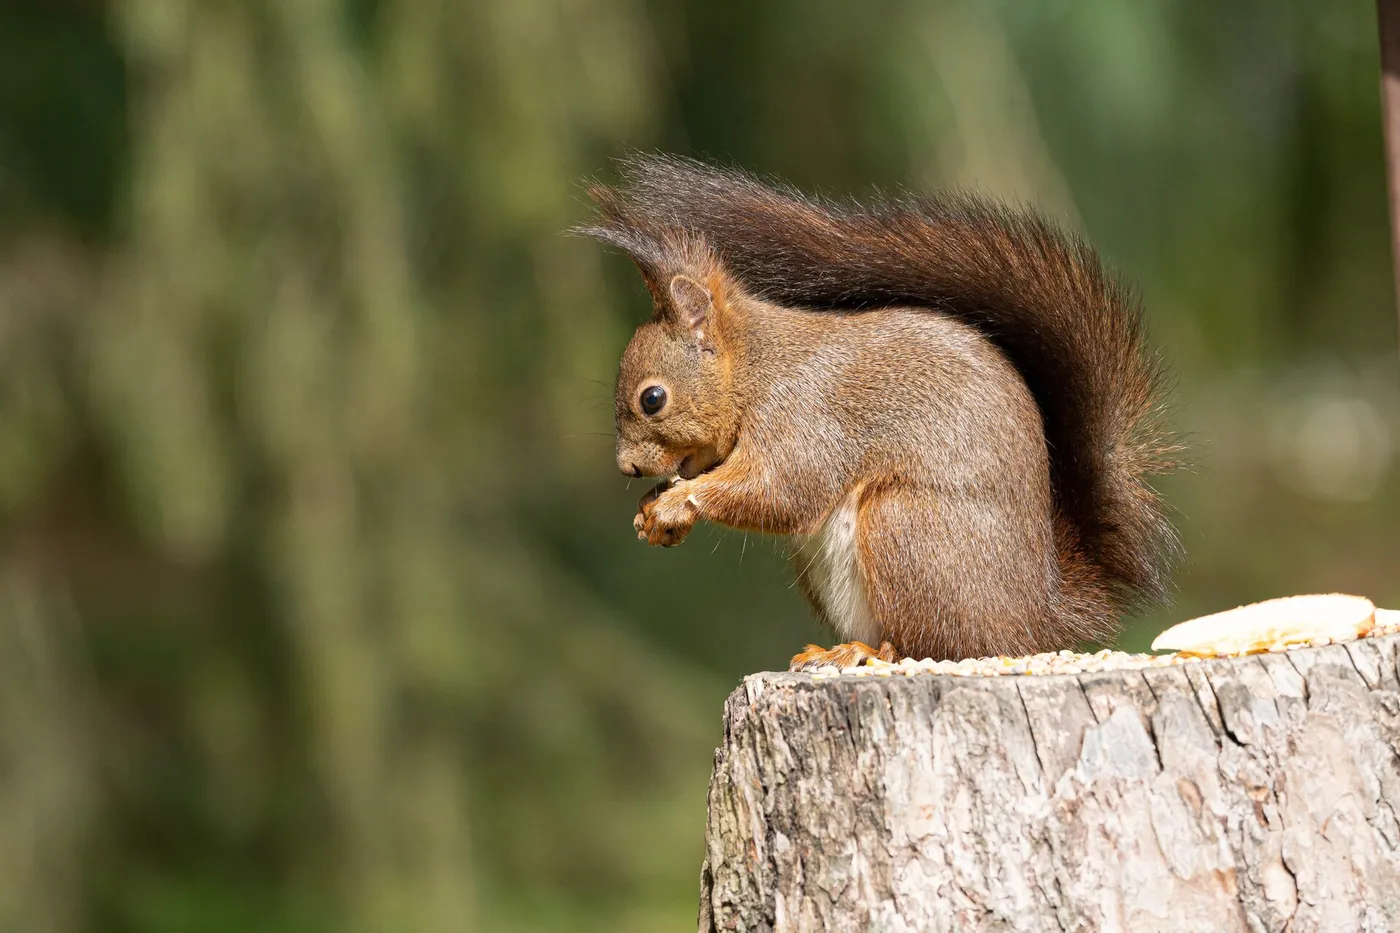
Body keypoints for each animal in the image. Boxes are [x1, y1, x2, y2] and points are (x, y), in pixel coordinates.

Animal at [579, 154, 1180, 671]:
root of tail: (1034, 620)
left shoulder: (803, 414)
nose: (627, 467)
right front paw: (651, 511)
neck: (754, 368)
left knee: (936, 646)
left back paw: (869, 652)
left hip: (906, 529)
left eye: (652, 399)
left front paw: (675, 503)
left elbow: (783, 488)